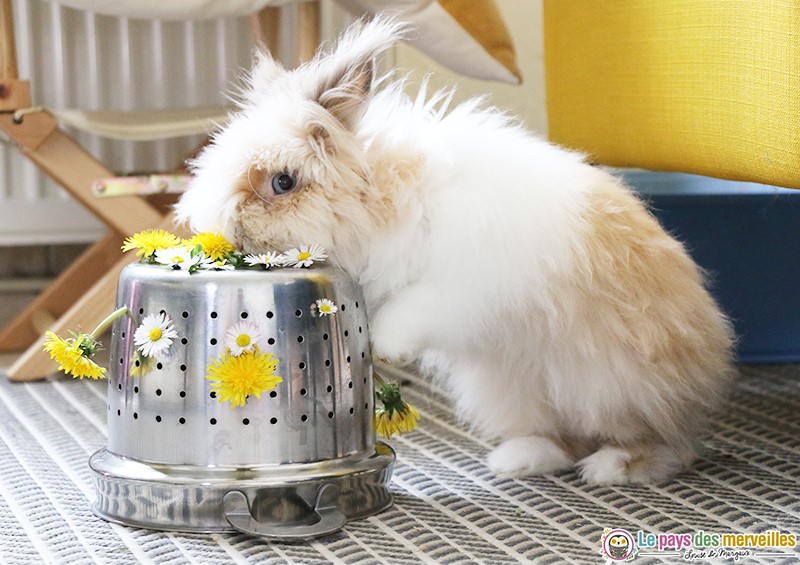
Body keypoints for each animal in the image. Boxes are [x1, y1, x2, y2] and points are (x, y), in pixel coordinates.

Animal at [177, 17, 736, 484]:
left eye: (283, 182)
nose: (230, 232)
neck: (389, 196)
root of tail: (706, 374)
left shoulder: (462, 284)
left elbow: (413, 308)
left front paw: (385, 347)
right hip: (518, 391)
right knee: (564, 437)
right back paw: (516, 460)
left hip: (613, 388)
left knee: (666, 444)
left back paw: (612, 467)